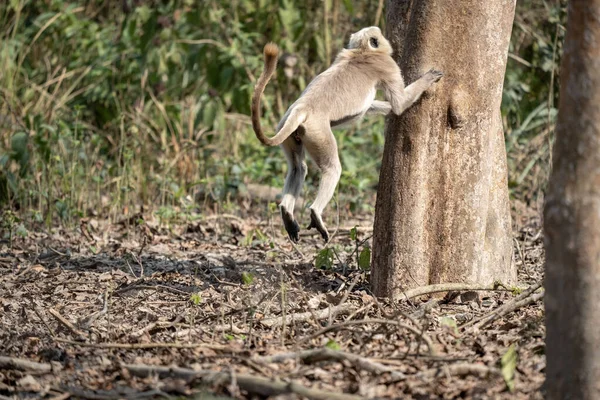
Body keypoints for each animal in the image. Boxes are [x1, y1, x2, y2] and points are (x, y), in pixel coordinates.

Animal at [251, 27, 442, 244]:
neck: (361, 52)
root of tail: (302, 107)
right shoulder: (387, 64)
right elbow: (399, 104)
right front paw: (428, 79)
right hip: (318, 132)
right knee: (332, 168)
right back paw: (315, 213)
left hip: (288, 130)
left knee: (298, 168)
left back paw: (286, 213)